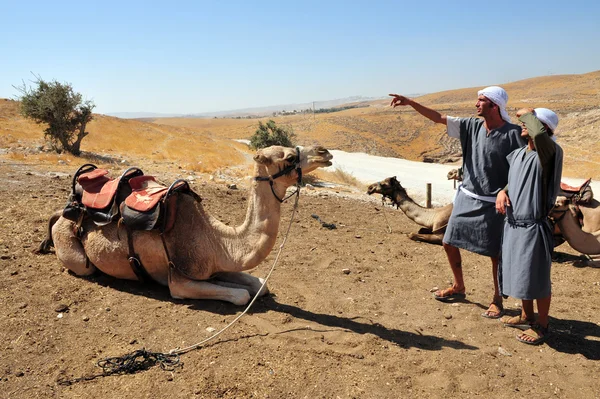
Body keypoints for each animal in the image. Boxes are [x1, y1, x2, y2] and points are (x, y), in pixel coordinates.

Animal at [38, 145, 332, 304]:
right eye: (289, 157)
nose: (324, 152)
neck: (219, 240)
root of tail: (63, 211)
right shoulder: (179, 282)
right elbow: (241, 295)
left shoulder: (217, 266)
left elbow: (260, 284)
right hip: (76, 254)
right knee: (83, 266)